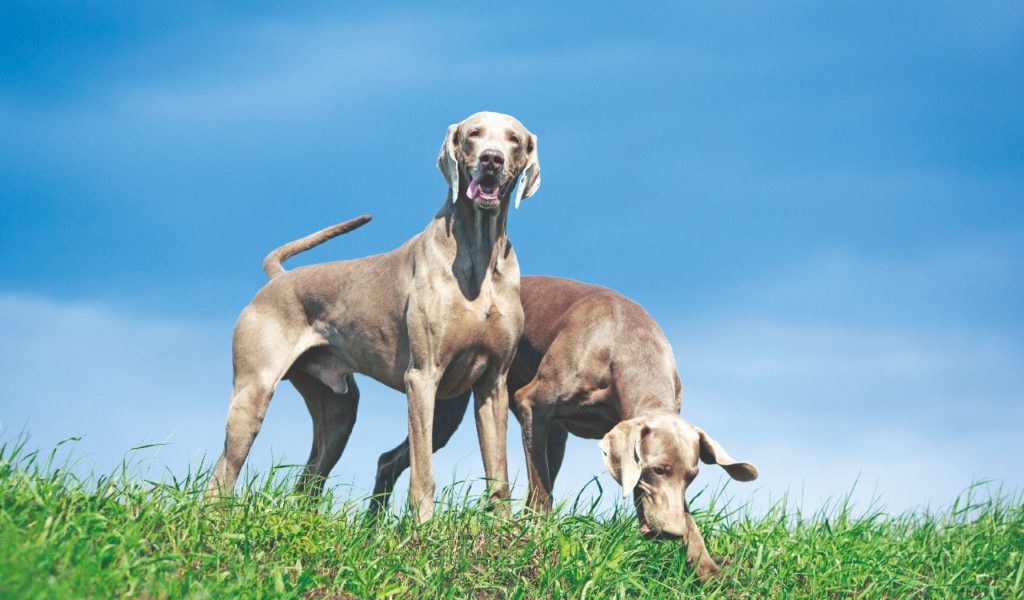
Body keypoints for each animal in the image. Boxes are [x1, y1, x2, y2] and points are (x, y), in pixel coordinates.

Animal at [208, 111, 544, 518]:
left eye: (514, 139)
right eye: (473, 134)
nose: (491, 159)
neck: (479, 251)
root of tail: (279, 278)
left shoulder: (494, 384)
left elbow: (499, 477)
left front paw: (503, 530)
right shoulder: (422, 377)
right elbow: (423, 475)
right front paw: (423, 529)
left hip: (340, 411)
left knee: (309, 478)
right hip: (253, 394)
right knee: (222, 474)